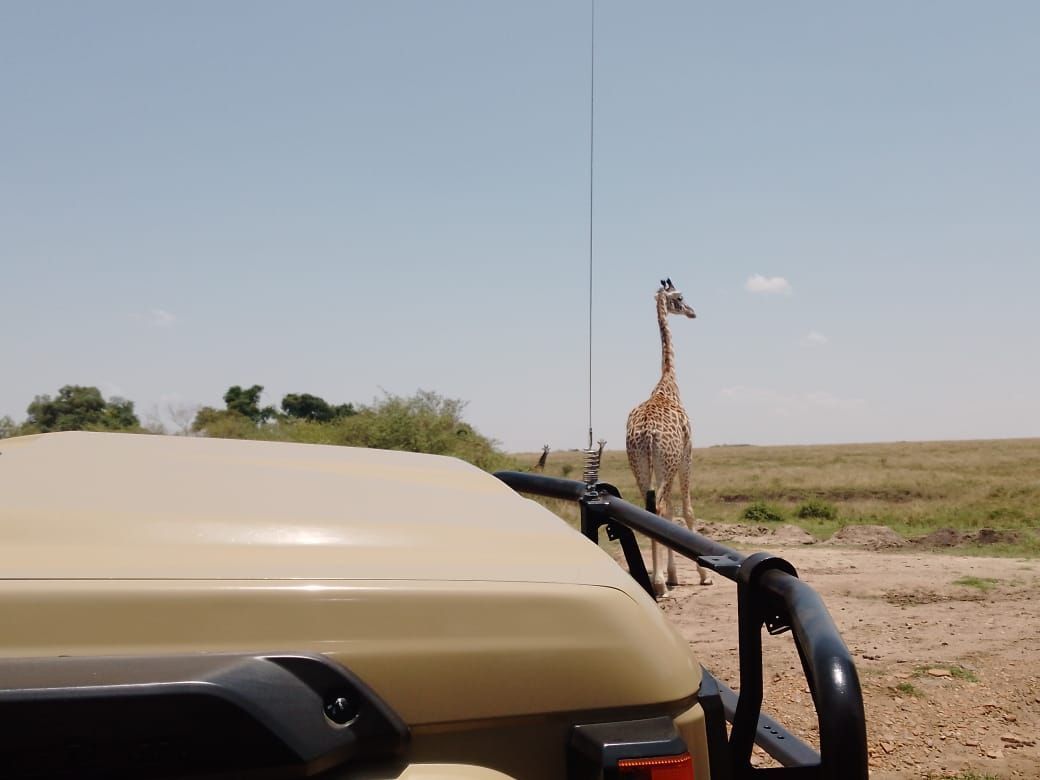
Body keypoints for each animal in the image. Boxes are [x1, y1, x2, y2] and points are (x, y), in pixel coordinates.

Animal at [626, 278, 712, 596]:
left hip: (640, 463)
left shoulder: (669, 464)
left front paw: (673, 574)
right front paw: (702, 575)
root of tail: (646, 433)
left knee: (650, 509)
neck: (668, 382)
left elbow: (669, 514)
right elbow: (685, 510)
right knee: (660, 508)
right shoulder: (687, 453)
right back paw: (660, 583)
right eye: (680, 297)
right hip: (666, 462)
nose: (692, 312)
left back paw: (658, 580)